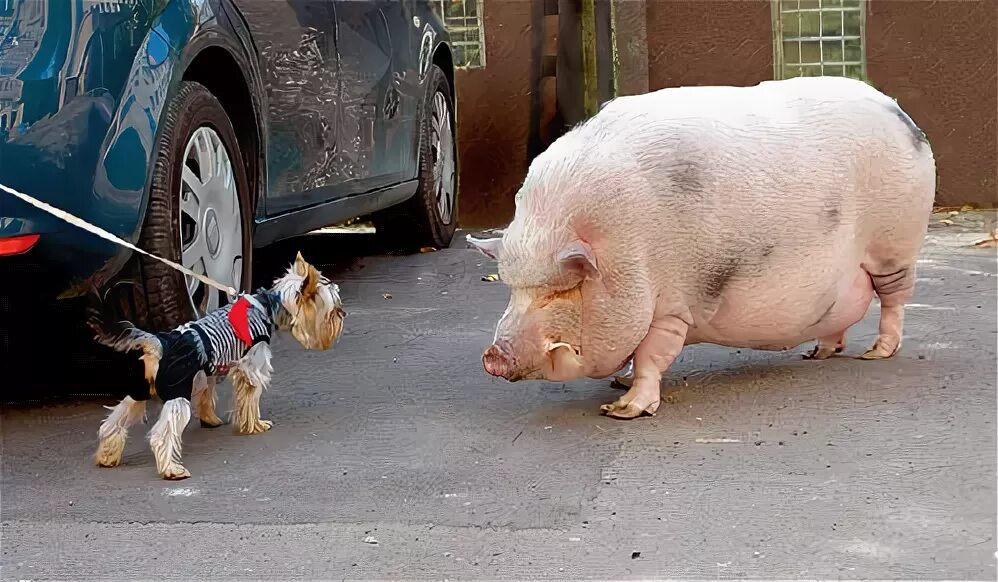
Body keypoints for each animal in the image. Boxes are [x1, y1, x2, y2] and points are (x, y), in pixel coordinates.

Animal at [87, 253, 352, 482]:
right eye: (331, 310)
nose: (343, 314)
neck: (267, 305)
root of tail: (161, 342)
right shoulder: (251, 366)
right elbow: (249, 397)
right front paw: (254, 425)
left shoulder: (211, 369)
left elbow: (207, 393)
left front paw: (210, 418)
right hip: (177, 391)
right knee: (162, 434)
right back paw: (171, 469)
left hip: (139, 389)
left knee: (114, 421)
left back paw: (107, 456)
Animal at [468, 77, 936, 422]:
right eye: (512, 289)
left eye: (561, 290)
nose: (492, 356)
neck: (623, 248)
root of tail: (904, 117)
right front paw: (619, 384)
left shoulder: (672, 306)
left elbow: (652, 356)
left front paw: (621, 409)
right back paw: (817, 353)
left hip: (896, 245)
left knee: (894, 300)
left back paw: (877, 353)